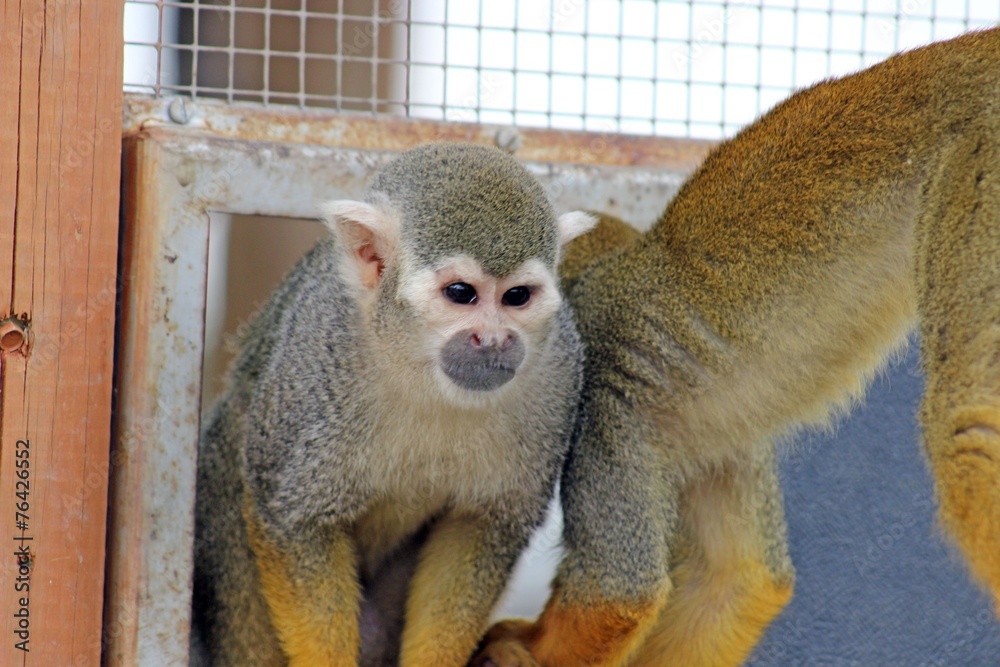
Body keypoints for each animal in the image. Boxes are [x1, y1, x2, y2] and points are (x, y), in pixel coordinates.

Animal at [188, 142, 597, 667]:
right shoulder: (316, 357)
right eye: (461, 293)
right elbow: (297, 521)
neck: (420, 371)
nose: (494, 340)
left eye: (517, 296)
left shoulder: (558, 376)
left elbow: (477, 529)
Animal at [473, 27, 1000, 667]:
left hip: (984, 158)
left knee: (968, 431)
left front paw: (516, 648)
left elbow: (616, 596)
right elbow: (741, 582)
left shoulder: (599, 400)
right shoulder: (716, 440)